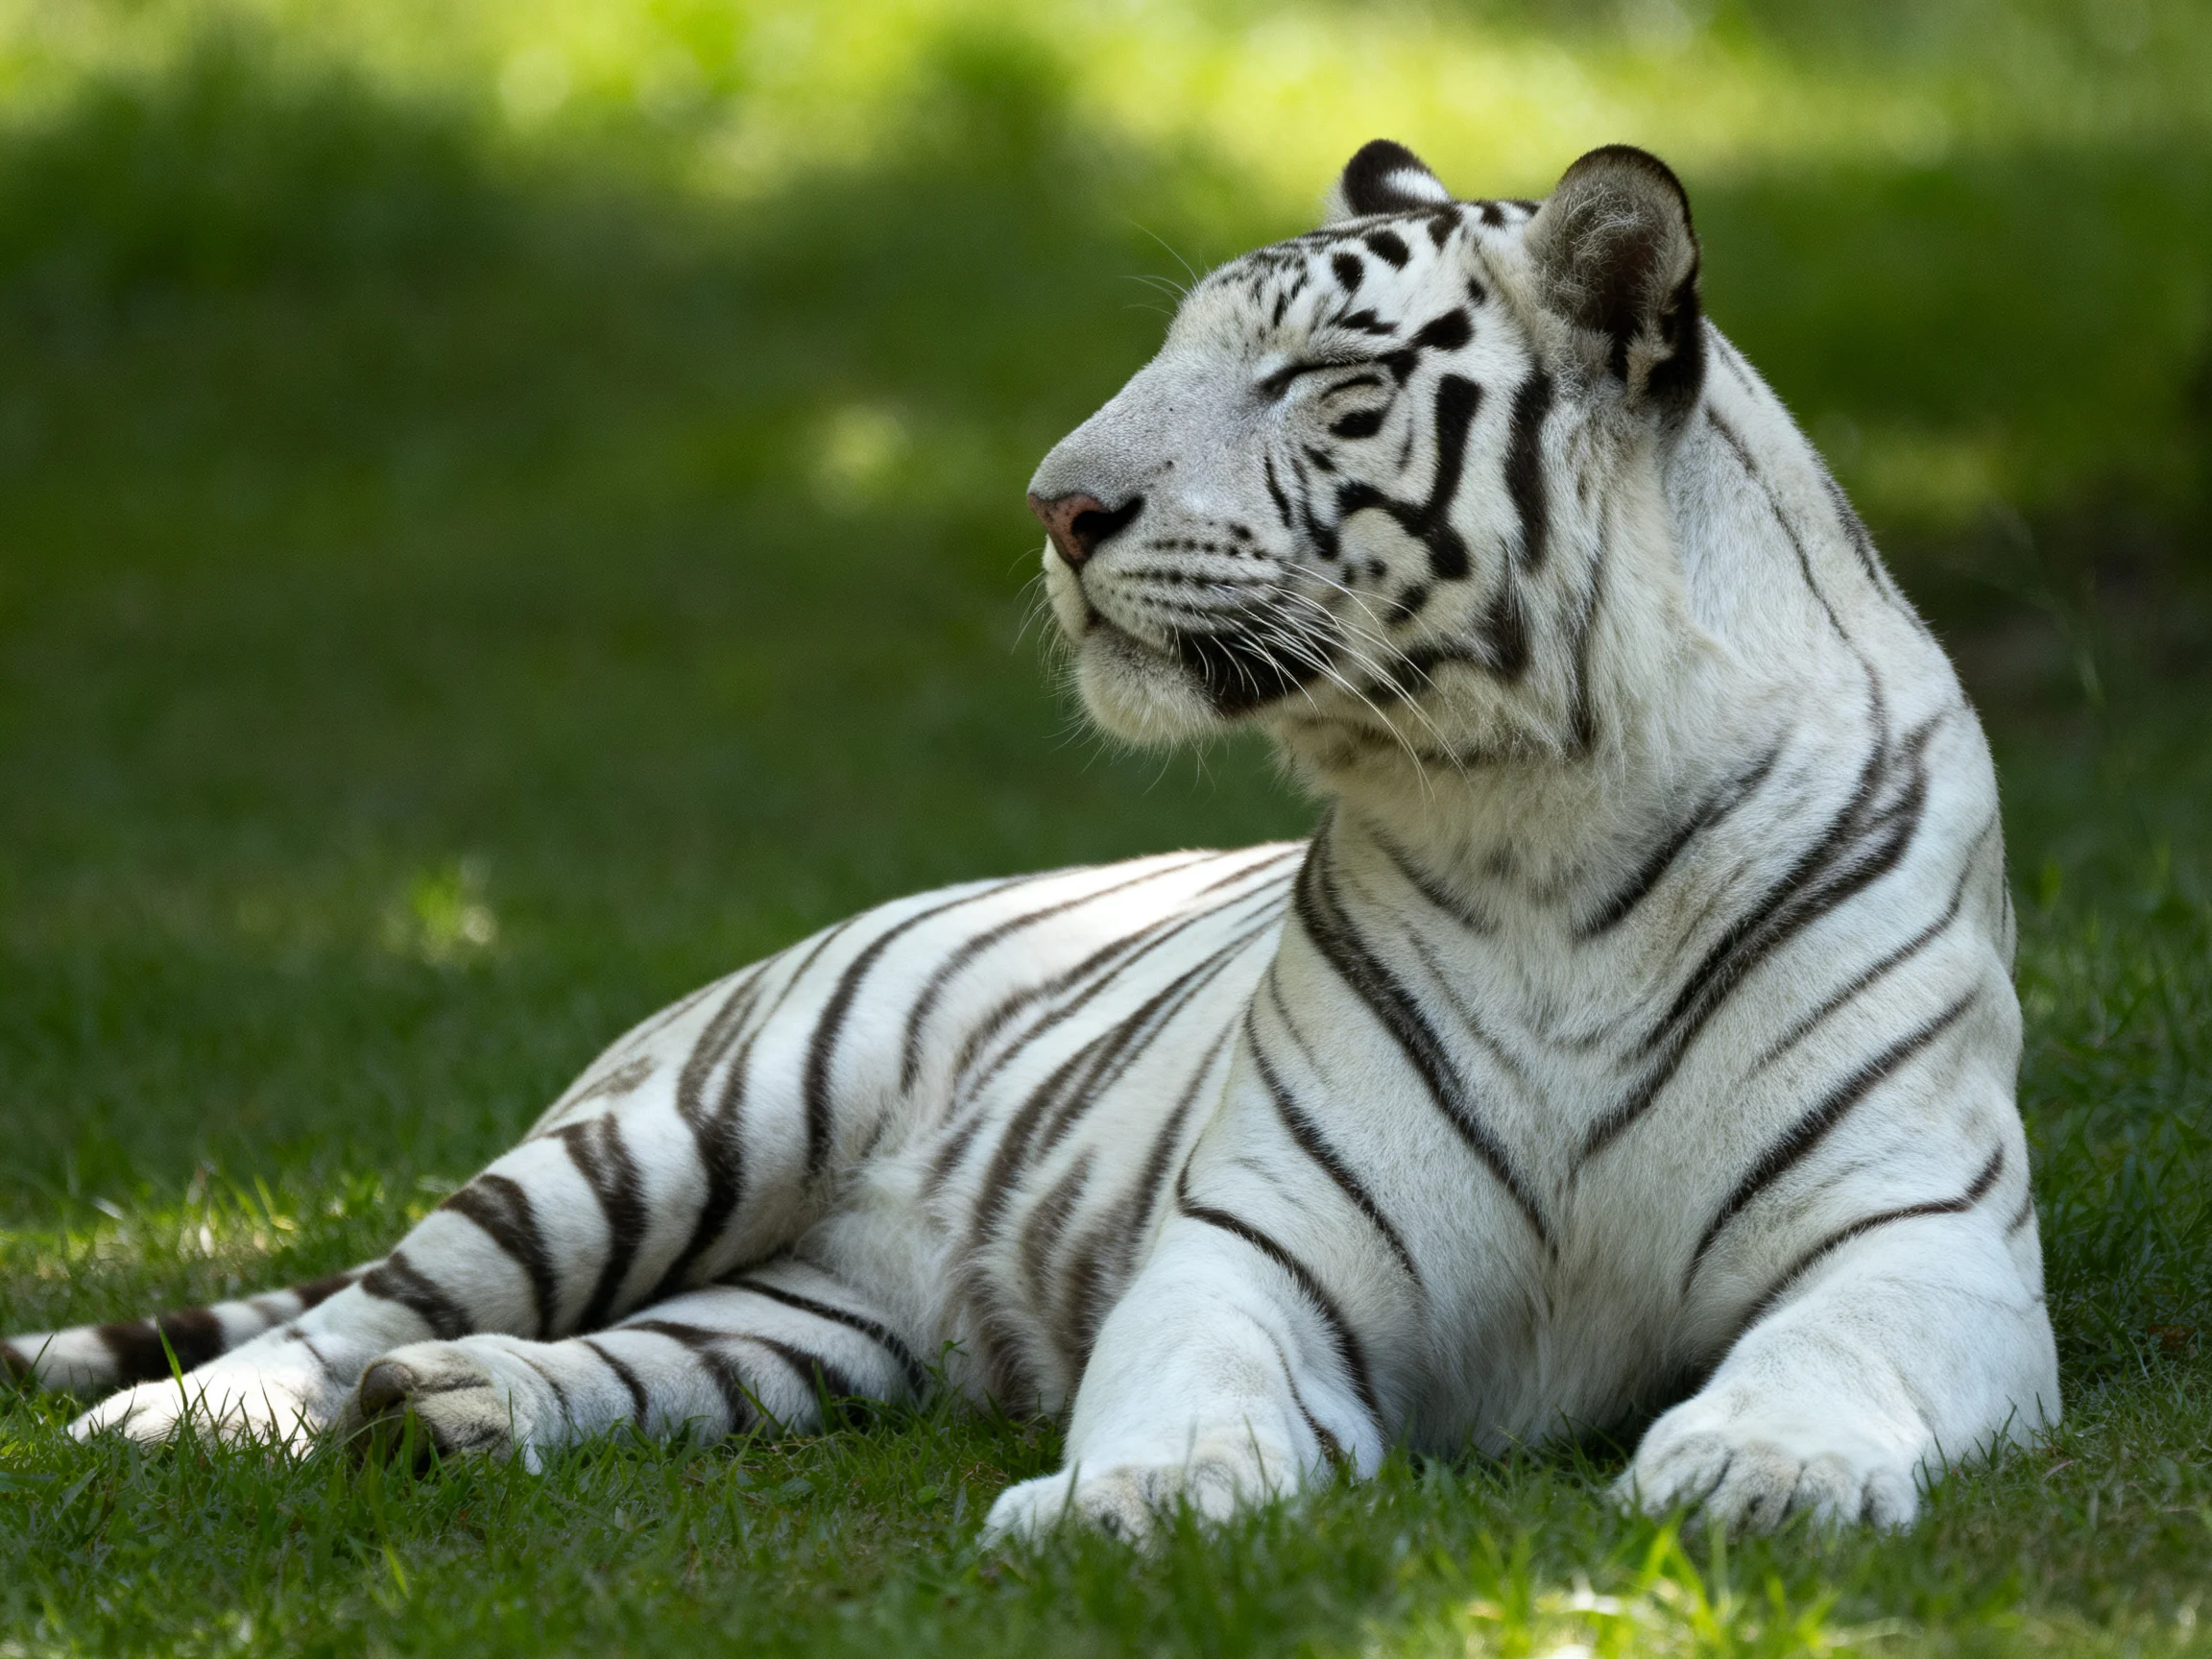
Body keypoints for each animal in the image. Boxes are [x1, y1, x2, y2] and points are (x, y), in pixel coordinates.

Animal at [4, 140, 2057, 1536]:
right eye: (1166, 356)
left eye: (1324, 384)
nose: (1055, 503)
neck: (1533, 811)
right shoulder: (1253, 1243)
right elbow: (1196, 1390)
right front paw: (1136, 1502)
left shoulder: (1914, 1233)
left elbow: (1824, 1349)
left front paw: (1762, 1466)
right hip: (669, 1137)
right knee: (357, 1303)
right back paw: (184, 1427)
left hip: (808, 1321)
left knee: (617, 1355)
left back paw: (454, 1414)